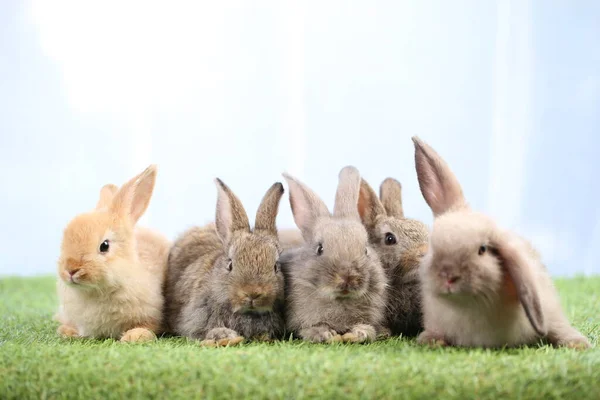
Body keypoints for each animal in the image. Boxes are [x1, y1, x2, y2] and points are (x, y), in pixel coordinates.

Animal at [412, 136, 592, 348]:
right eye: (433, 246)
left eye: (482, 250)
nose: (448, 276)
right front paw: (430, 340)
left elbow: (556, 328)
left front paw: (579, 344)